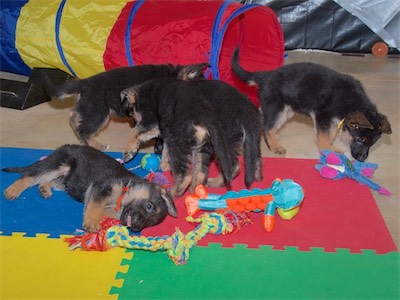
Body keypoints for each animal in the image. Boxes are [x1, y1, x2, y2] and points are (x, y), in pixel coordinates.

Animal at [1, 144, 177, 233]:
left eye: (151, 224)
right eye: (149, 206)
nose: (136, 228)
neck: (125, 188)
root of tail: (62, 148)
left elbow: (100, 211)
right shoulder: (100, 189)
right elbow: (95, 207)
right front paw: (91, 223)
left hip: (67, 178)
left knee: (47, 180)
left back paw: (44, 188)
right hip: (58, 164)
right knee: (30, 175)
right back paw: (12, 190)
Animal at [45, 63, 209, 152]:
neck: (172, 77)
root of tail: (84, 82)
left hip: (89, 107)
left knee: (73, 115)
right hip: (98, 113)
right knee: (83, 129)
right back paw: (97, 145)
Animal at [231, 47, 390, 162]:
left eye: (371, 143)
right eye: (360, 140)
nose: (362, 160)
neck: (353, 104)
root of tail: (265, 75)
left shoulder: (330, 120)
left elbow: (331, 134)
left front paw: (331, 147)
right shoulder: (324, 117)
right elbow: (325, 136)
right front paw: (328, 150)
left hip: (285, 110)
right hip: (277, 108)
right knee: (267, 127)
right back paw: (275, 146)